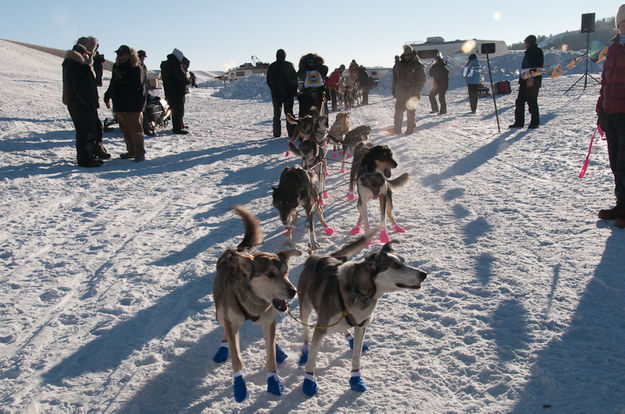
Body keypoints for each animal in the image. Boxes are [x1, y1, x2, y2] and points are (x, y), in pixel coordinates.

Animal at [213, 205, 302, 402]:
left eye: (286, 271)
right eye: (269, 274)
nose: (293, 291)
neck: (254, 301)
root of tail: (236, 250)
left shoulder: (268, 319)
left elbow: (270, 356)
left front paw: (273, 380)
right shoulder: (230, 322)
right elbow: (236, 359)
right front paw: (239, 386)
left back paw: (278, 349)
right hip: (220, 314)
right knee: (224, 329)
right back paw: (223, 346)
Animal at [296, 234, 424, 396]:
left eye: (405, 261)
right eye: (395, 266)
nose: (424, 274)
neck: (360, 292)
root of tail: (318, 256)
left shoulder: (361, 326)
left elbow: (356, 356)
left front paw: (356, 379)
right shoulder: (321, 328)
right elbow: (312, 359)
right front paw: (309, 381)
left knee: (343, 328)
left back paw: (349, 337)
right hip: (305, 308)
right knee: (306, 330)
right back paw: (305, 350)